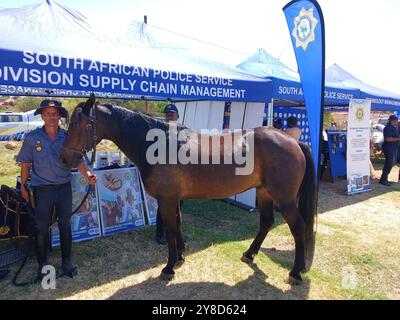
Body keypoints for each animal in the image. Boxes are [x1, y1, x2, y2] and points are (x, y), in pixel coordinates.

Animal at [60, 94, 316, 284]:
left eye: (79, 124)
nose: (64, 158)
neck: (159, 146)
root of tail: (293, 141)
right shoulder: (174, 199)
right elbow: (178, 224)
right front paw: (180, 257)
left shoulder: (166, 200)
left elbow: (171, 229)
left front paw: (168, 267)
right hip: (264, 193)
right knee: (266, 223)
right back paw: (249, 254)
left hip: (285, 199)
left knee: (298, 227)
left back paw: (295, 272)